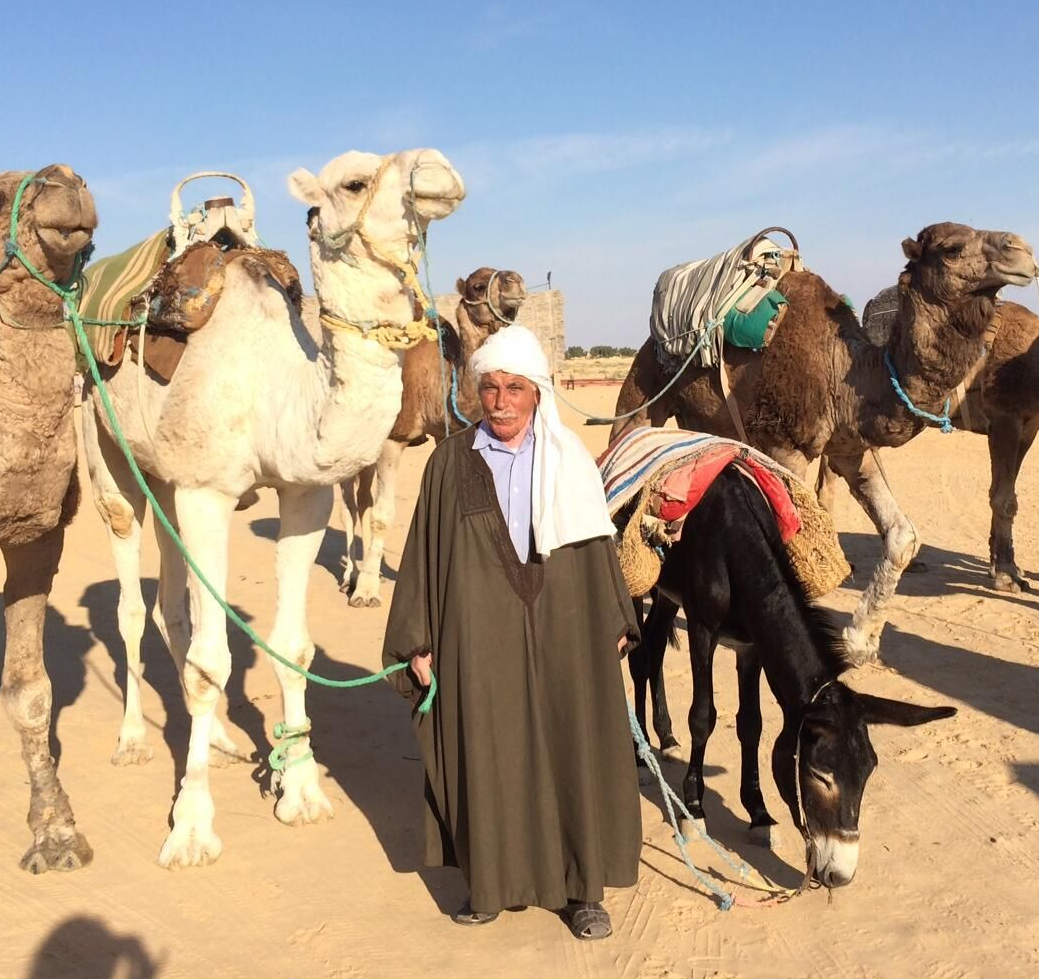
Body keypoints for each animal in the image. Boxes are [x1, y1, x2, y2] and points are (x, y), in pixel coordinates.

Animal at [83, 145, 465, 864]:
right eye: (353, 181)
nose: (440, 170)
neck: (280, 385)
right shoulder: (207, 492)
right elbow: (212, 665)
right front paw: (192, 828)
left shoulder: (303, 492)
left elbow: (292, 647)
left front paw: (302, 791)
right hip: (103, 444)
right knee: (128, 599)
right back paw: (132, 740)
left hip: (167, 480)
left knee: (170, 604)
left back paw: (223, 740)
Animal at [340, 266, 527, 606]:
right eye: (478, 285)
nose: (515, 281)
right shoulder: (394, 438)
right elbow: (383, 515)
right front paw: (366, 593)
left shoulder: (444, 432)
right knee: (347, 505)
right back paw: (351, 577)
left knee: (361, 500)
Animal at [818, 280, 1039, 594]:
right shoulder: (1005, 417)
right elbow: (1004, 498)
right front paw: (1008, 576)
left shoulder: (1029, 424)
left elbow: (1001, 491)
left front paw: (1000, 565)